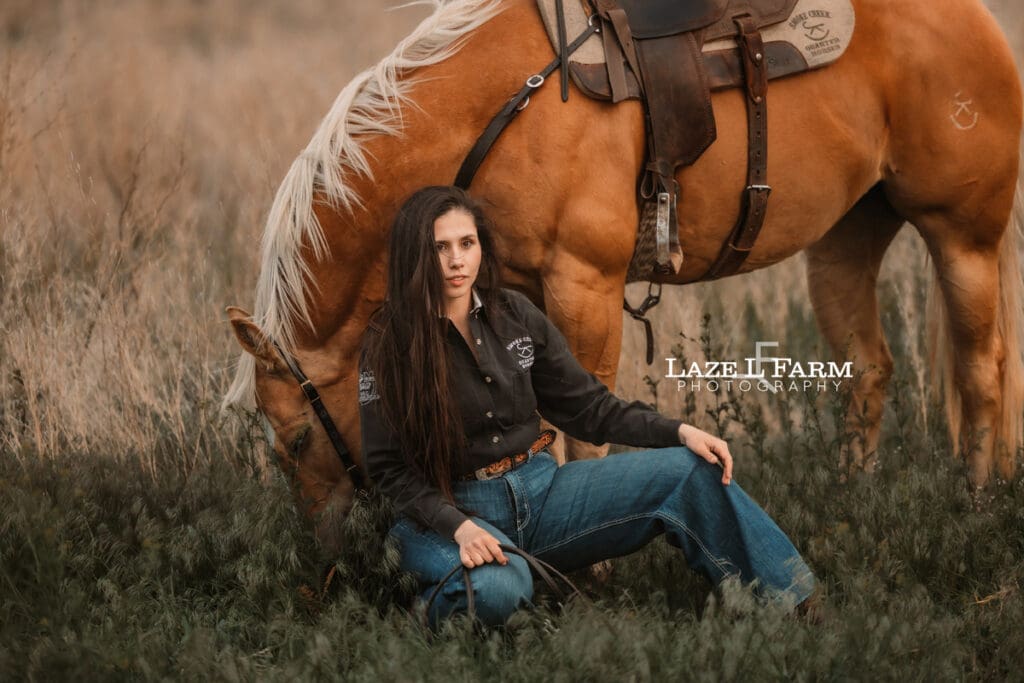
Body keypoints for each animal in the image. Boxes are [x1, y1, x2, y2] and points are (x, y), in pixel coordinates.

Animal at [224, 0, 1023, 556]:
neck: (500, 110)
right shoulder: (517, 300)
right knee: (868, 371)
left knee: (981, 370)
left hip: (963, 235)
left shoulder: (586, 286)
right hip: (844, 240)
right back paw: (852, 496)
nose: (328, 557)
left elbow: (585, 438)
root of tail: (978, 24)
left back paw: (977, 502)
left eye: (295, 438)